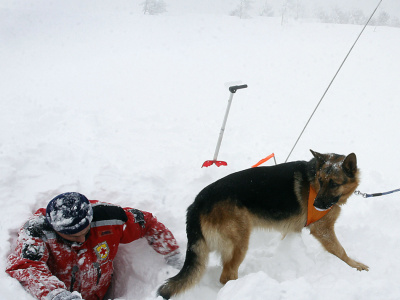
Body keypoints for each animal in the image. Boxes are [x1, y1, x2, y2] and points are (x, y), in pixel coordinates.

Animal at [158, 150, 370, 298]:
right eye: (320, 180)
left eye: (333, 183)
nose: (317, 205)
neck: (314, 182)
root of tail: (197, 202)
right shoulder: (323, 230)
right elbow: (340, 251)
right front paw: (356, 266)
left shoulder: (292, 229)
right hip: (240, 242)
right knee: (227, 275)